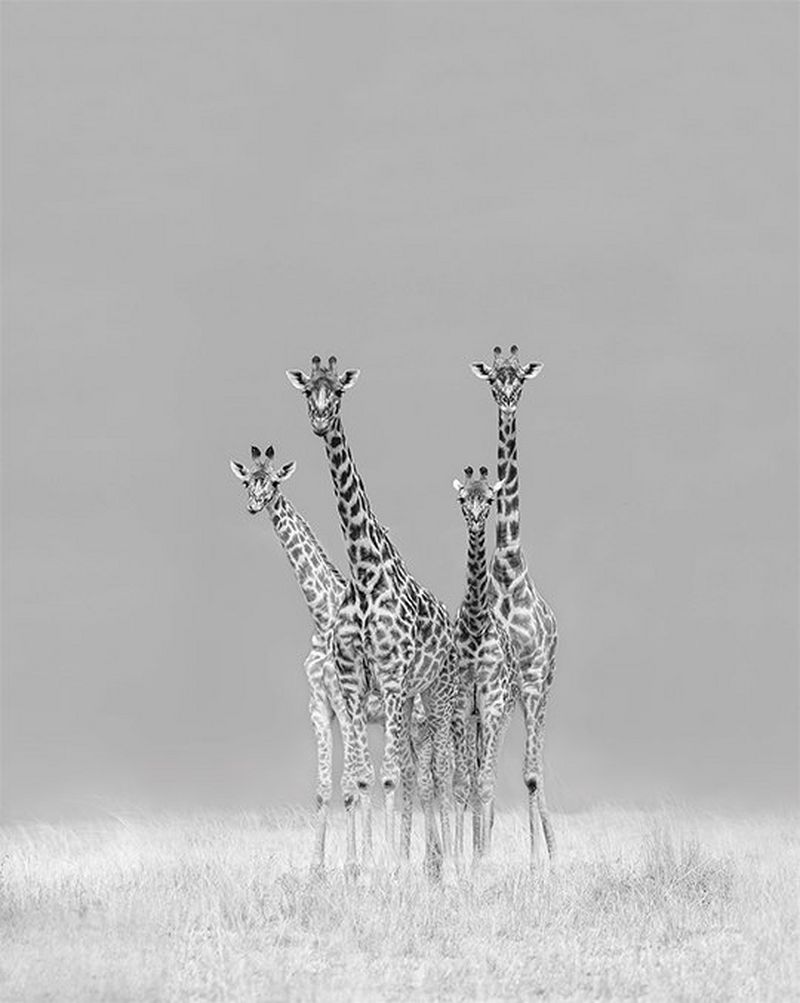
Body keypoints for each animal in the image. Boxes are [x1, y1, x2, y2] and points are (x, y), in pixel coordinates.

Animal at [287, 356, 456, 875]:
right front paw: (357, 869)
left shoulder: (393, 676)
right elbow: (360, 779)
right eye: (308, 391)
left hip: (433, 696)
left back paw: (441, 864)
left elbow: (387, 778)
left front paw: (392, 867)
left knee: (435, 775)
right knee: (416, 775)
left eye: (339, 391)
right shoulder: (350, 684)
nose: (320, 420)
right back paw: (427, 862)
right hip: (407, 700)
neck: (364, 573)